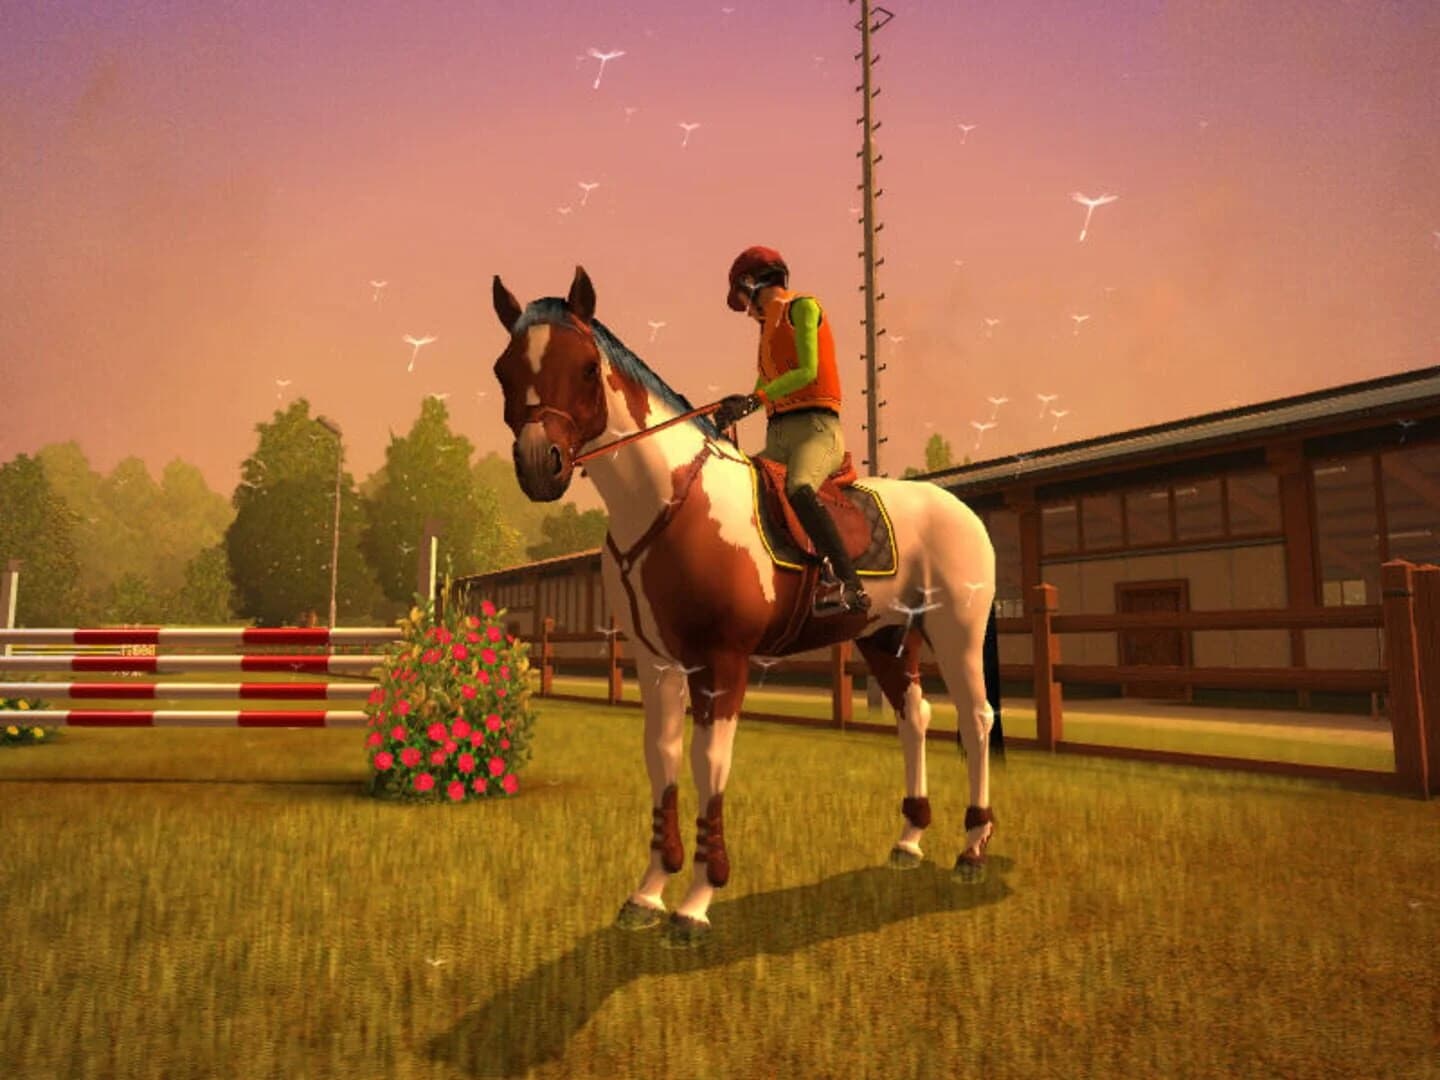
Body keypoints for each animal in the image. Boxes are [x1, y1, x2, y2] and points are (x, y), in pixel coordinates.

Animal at [490, 265, 999, 947]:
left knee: (975, 719)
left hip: (956, 630)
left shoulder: (721, 664)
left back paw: (972, 849)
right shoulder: (656, 666)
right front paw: (648, 891)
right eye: (504, 369)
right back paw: (909, 841)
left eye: (587, 368)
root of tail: (958, 506)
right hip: (884, 636)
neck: (668, 502)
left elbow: (709, 762)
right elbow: (661, 757)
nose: (538, 466)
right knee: (913, 717)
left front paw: (696, 900)